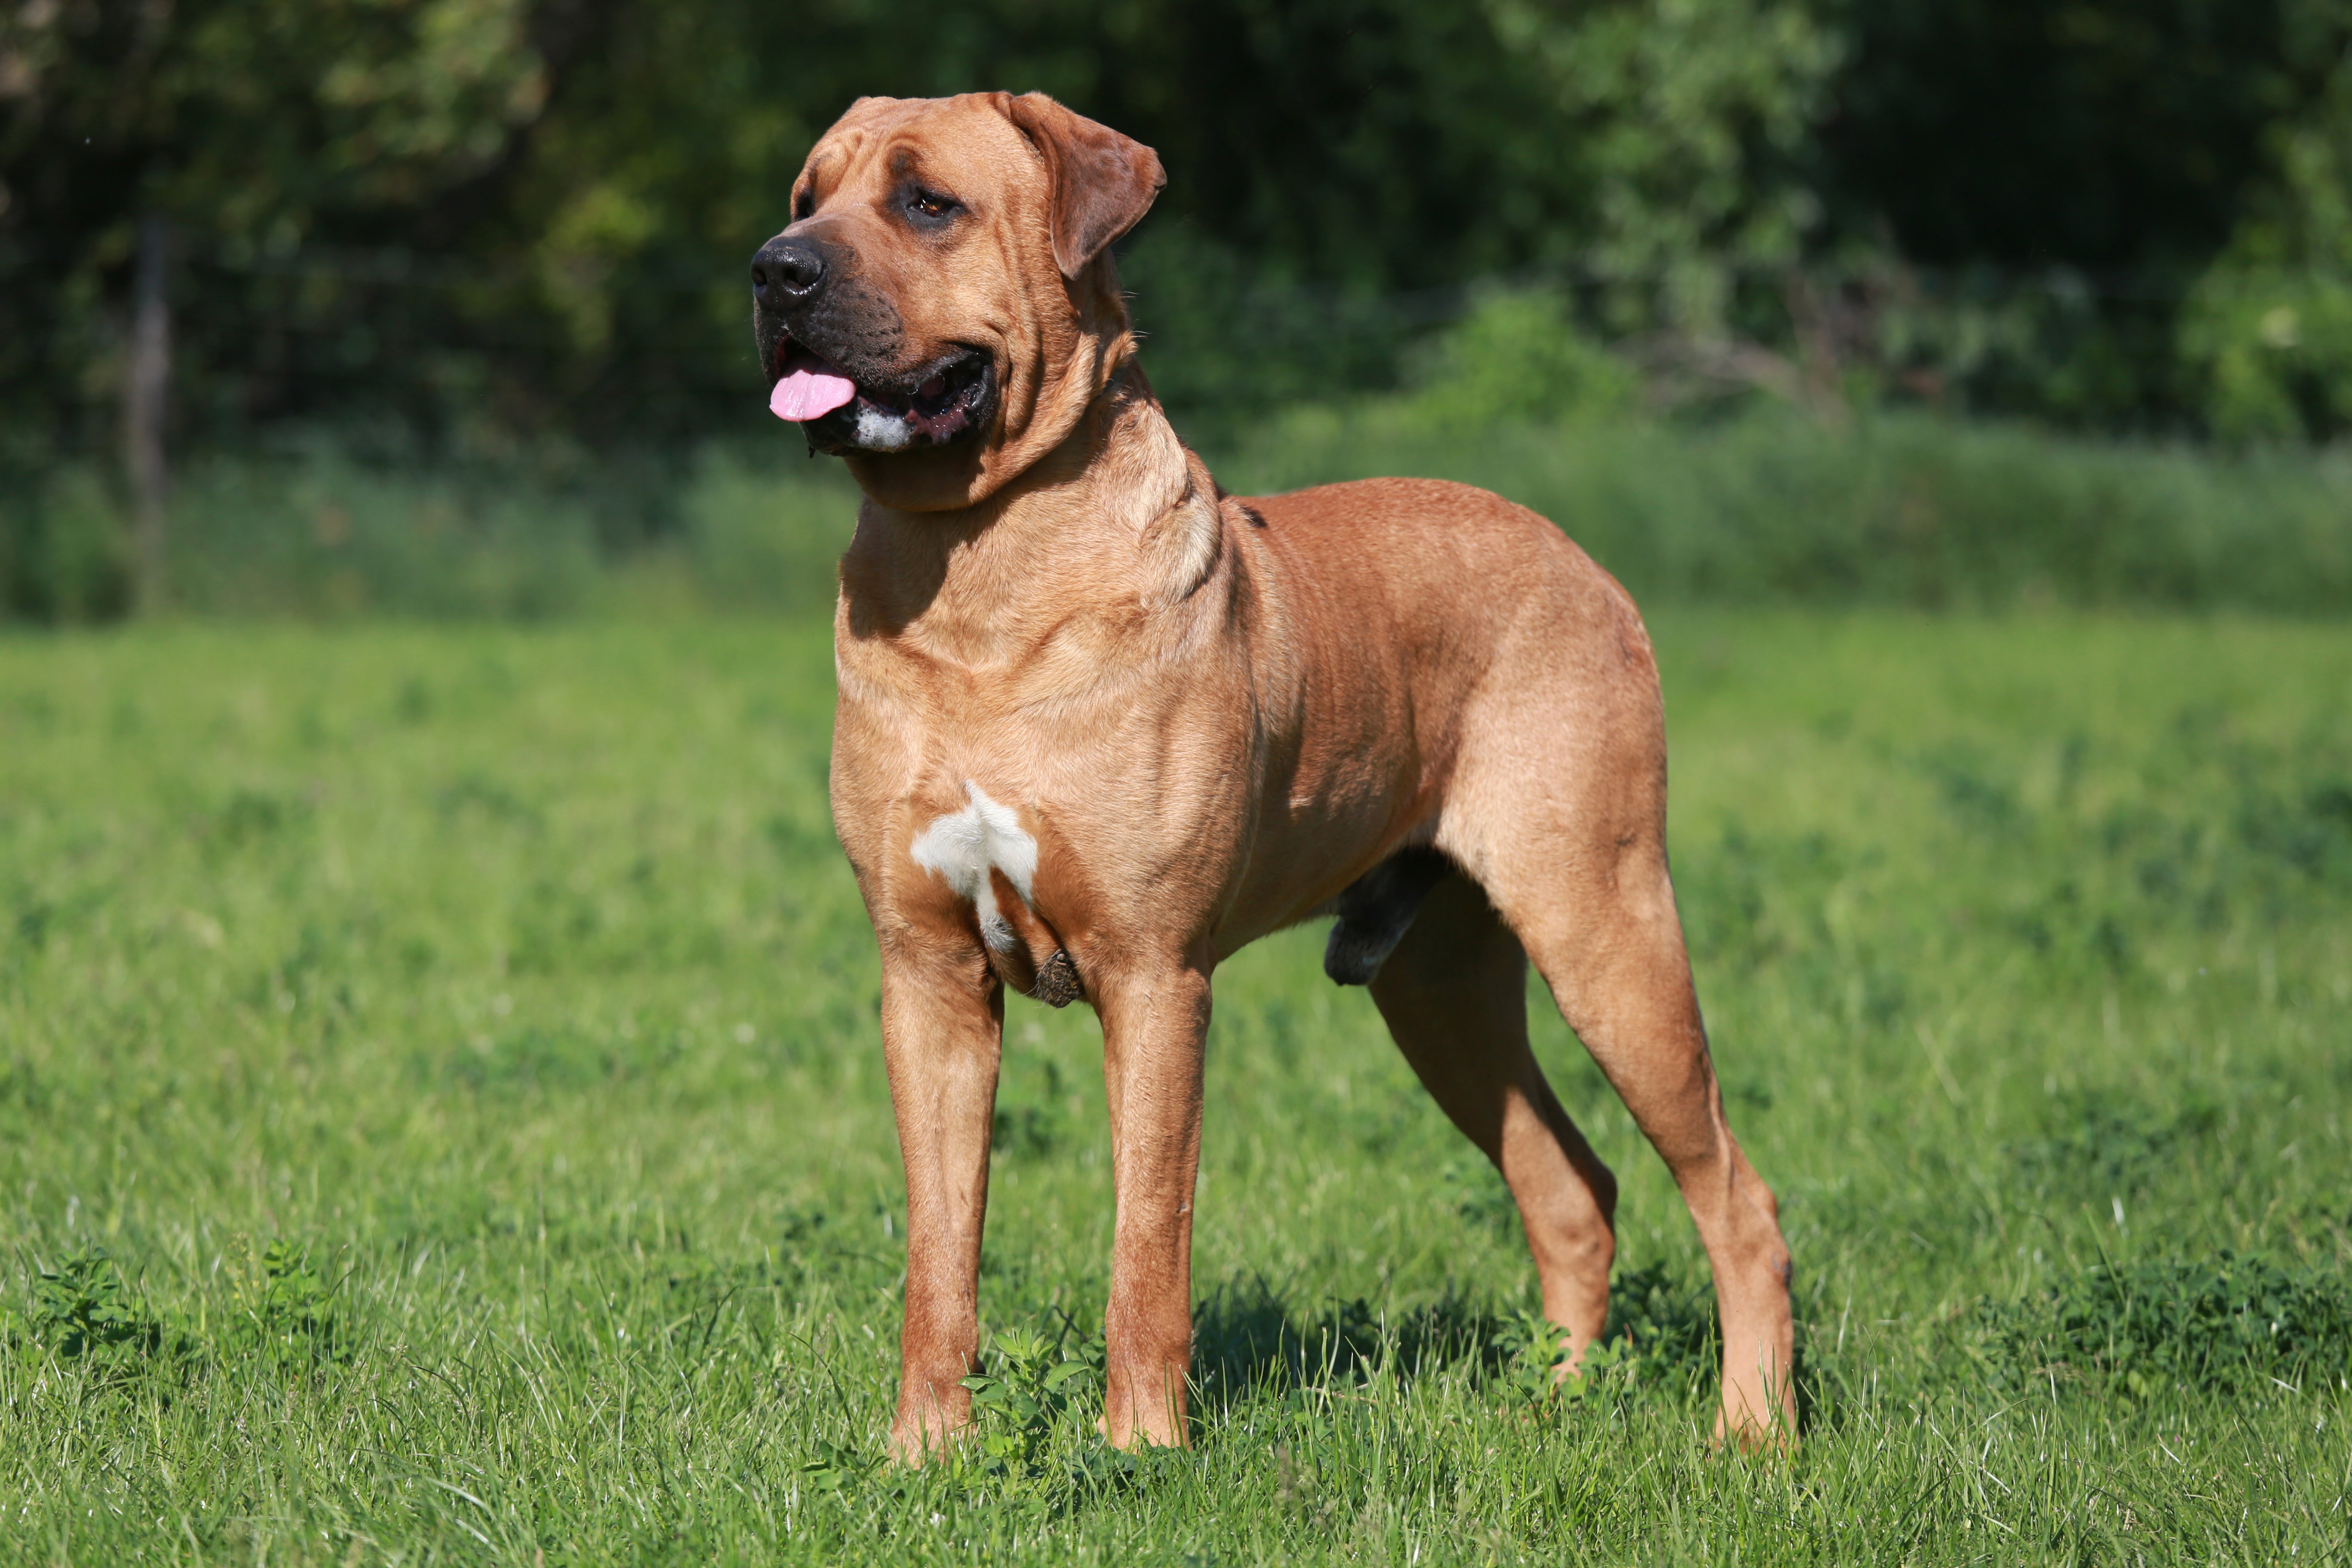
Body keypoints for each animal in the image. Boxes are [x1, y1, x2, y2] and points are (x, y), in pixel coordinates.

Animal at [753, 92, 1797, 1457]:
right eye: (805, 197)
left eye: (928, 203)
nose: (773, 270)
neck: (979, 558)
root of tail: (1585, 562)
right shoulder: (925, 978)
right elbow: (941, 1252)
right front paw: (923, 1454)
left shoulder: (1155, 977)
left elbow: (1147, 1240)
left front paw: (1141, 1450)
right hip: (1438, 984)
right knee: (1570, 1184)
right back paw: (1554, 1400)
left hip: (1605, 928)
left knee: (1734, 1195)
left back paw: (1753, 1431)